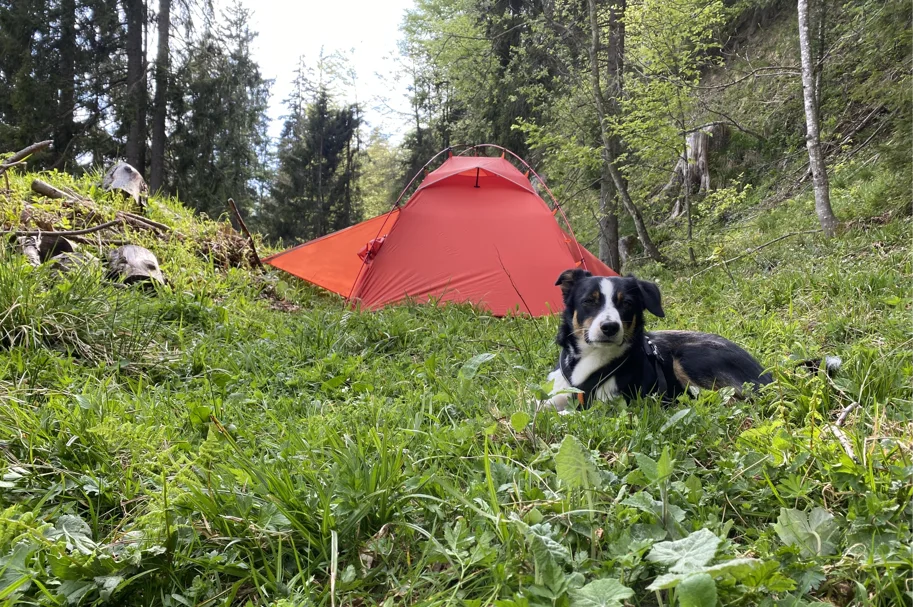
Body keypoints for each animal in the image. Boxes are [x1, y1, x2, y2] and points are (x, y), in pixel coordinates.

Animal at [544, 270, 772, 414]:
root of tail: (764, 373)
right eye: (589, 301)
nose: (610, 327)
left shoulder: (610, 406)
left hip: (688, 356)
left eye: (627, 303)